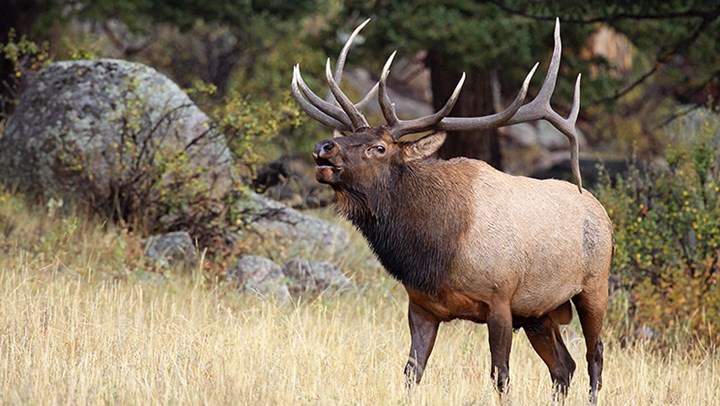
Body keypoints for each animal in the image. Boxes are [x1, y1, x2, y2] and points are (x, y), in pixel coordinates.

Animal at [292, 18, 612, 402]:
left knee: (594, 358)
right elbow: (410, 373)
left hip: (594, 287)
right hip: (541, 312)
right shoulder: (421, 306)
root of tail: (601, 210)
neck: (436, 252)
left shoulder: (500, 298)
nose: (324, 146)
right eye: (348, 136)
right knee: (564, 367)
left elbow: (500, 376)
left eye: (379, 147)